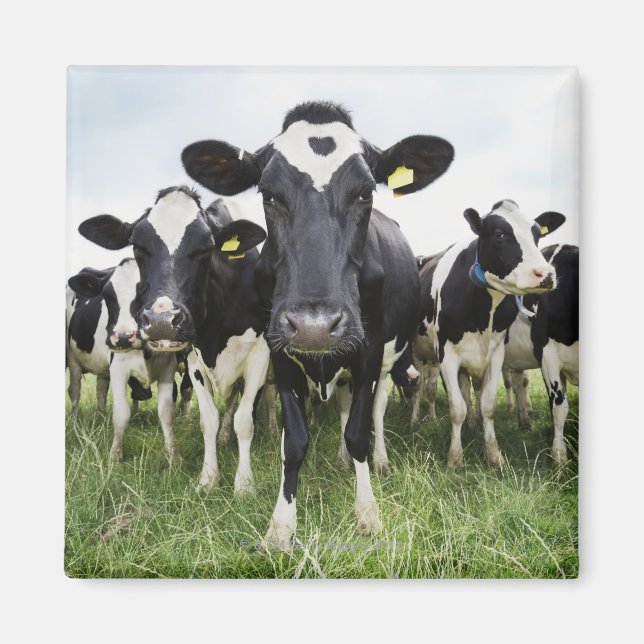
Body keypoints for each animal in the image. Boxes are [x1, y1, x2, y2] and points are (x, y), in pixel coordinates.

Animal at [77, 187, 271, 494]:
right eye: (137, 246)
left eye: (207, 247)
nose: (161, 320)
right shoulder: (194, 359)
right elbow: (208, 420)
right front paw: (208, 478)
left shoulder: (260, 356)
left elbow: (245, 420)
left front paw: (244, 484)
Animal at [181, 100, 454, 549]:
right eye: (268, 194)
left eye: (366, 192)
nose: (314, 326)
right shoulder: (279, 349)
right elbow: (293, 440)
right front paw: (280, 527)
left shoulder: (369, 348)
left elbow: (359, 431)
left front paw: (368, 514)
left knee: (374, 411)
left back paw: (376, 462)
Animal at [412, 199, 565, 469]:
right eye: (499, 234)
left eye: (537, 235)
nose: (546, 274)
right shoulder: (446, 355)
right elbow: (456, 408)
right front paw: (455, 459)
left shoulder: (495, 353)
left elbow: (487, 404)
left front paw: (494, 455)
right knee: (416, 388)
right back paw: (415, 421)